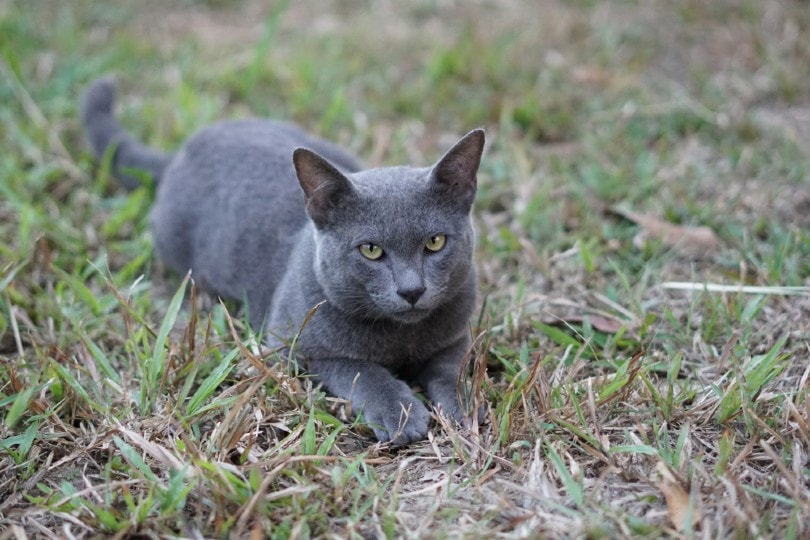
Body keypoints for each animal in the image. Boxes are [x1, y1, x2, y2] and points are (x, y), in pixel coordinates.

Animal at [84, 78, 482, 446]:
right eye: (371, 250)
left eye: (435, 242)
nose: (412, 289)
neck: (402, 338)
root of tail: (182, 152)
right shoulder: (295, 349)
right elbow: (359, 371)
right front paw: (400, 415)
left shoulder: (456, 336)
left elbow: (452, 371)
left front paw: (464, 408)